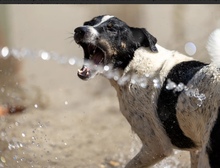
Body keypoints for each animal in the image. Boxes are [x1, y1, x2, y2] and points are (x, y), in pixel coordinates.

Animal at [73, 15, 220, 167]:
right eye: (88, 23)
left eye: (111, 28)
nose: (80, 30)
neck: (134, 63)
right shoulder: (196, 147)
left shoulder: (156, 146)